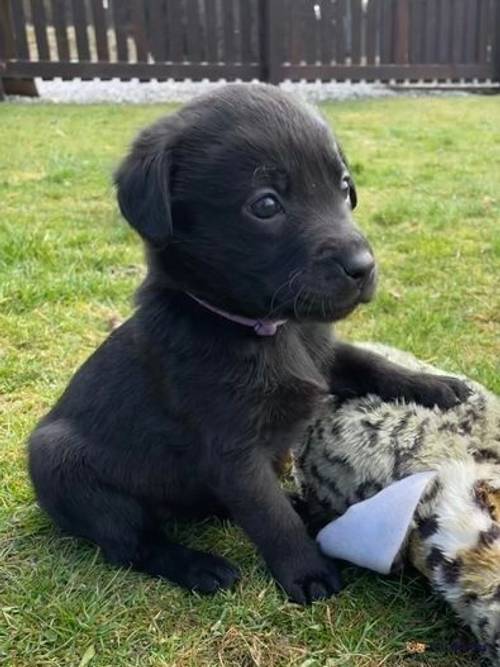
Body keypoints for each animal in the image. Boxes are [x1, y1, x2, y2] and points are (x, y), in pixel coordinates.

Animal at [29, 85, 468, 604]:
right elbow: (268, 515)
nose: (363, 266)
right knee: (132, 542)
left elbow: (370, 361)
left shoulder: (321, 354)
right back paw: (199, 566)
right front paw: (307, 572)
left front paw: (436, 386)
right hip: (62, 466)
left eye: (344, 187)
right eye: (266, 204)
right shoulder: (233, 451)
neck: (269, 330)